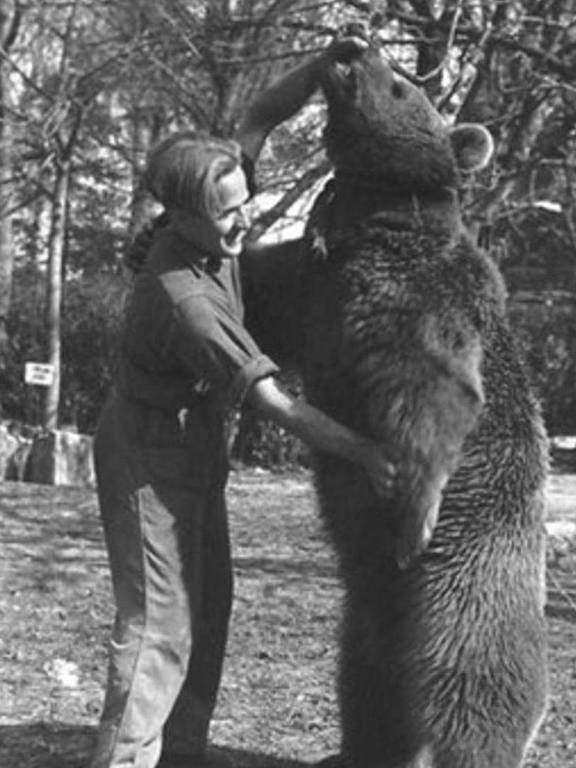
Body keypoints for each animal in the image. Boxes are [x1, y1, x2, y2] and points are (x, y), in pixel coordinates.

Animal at [241, 40, 552, 768]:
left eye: (404, 83)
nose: (350, 42)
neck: (373, 221)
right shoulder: (311, 281)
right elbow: (260, 289)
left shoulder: (419, 297)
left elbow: (433, 387)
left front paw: (412, 507)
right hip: (369, 612)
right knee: (366, 683)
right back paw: (357, 748)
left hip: (468, 579)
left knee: (477, 684)